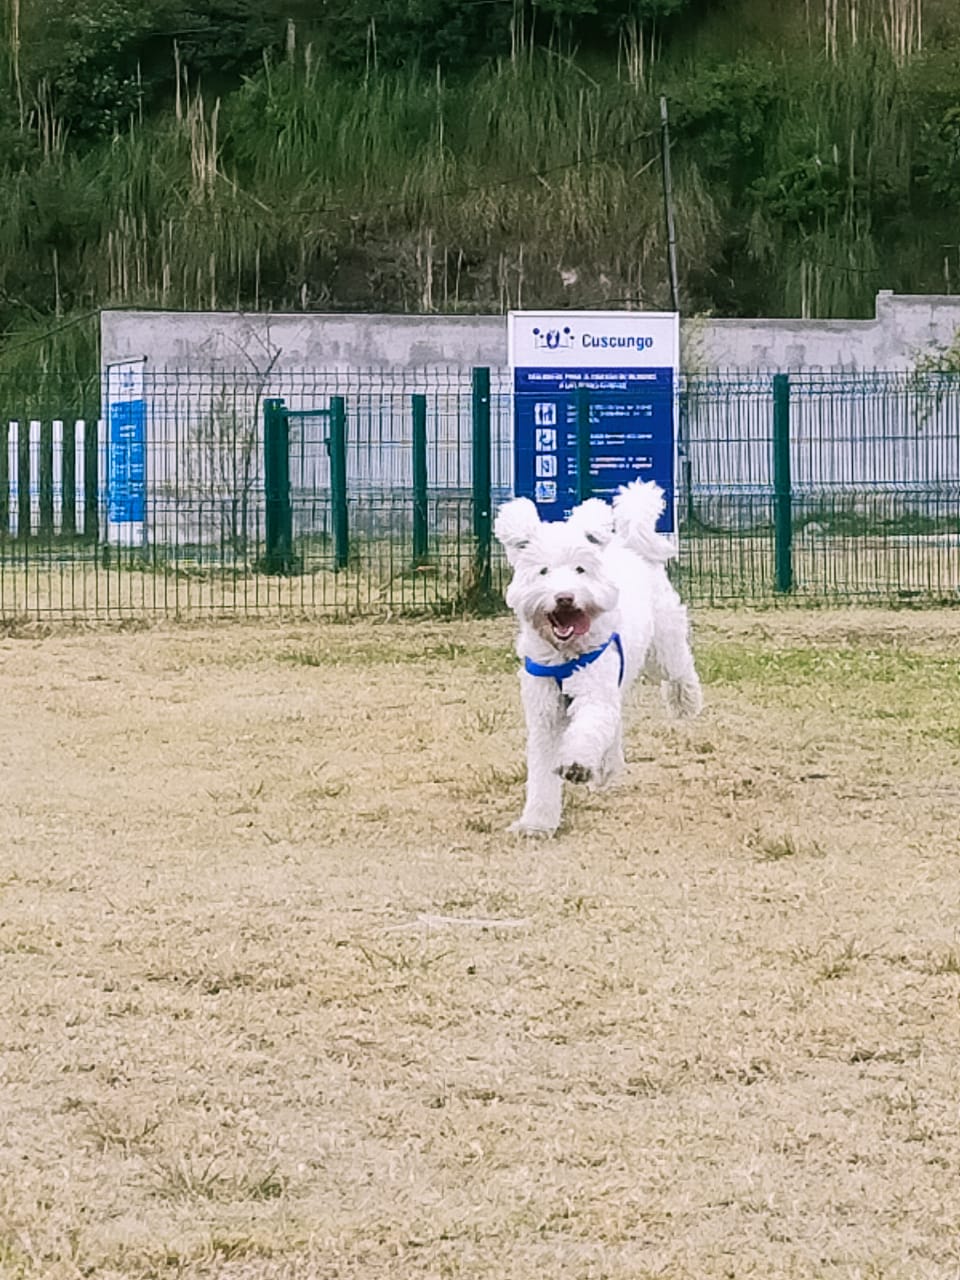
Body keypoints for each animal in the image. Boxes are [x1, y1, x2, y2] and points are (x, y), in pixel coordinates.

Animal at [491, 481, 701, 839]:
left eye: (580, 569)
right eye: (543, 571)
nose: (564, 597)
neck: (564, 653)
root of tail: (627, 543)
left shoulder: (594, 693)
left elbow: (588, 729)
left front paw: (577, 765)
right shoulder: (545, 713)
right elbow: (542, 772)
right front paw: (536, 823)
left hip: (663, 646)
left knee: (678, 667)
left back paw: (686, 701)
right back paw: (607, 768)